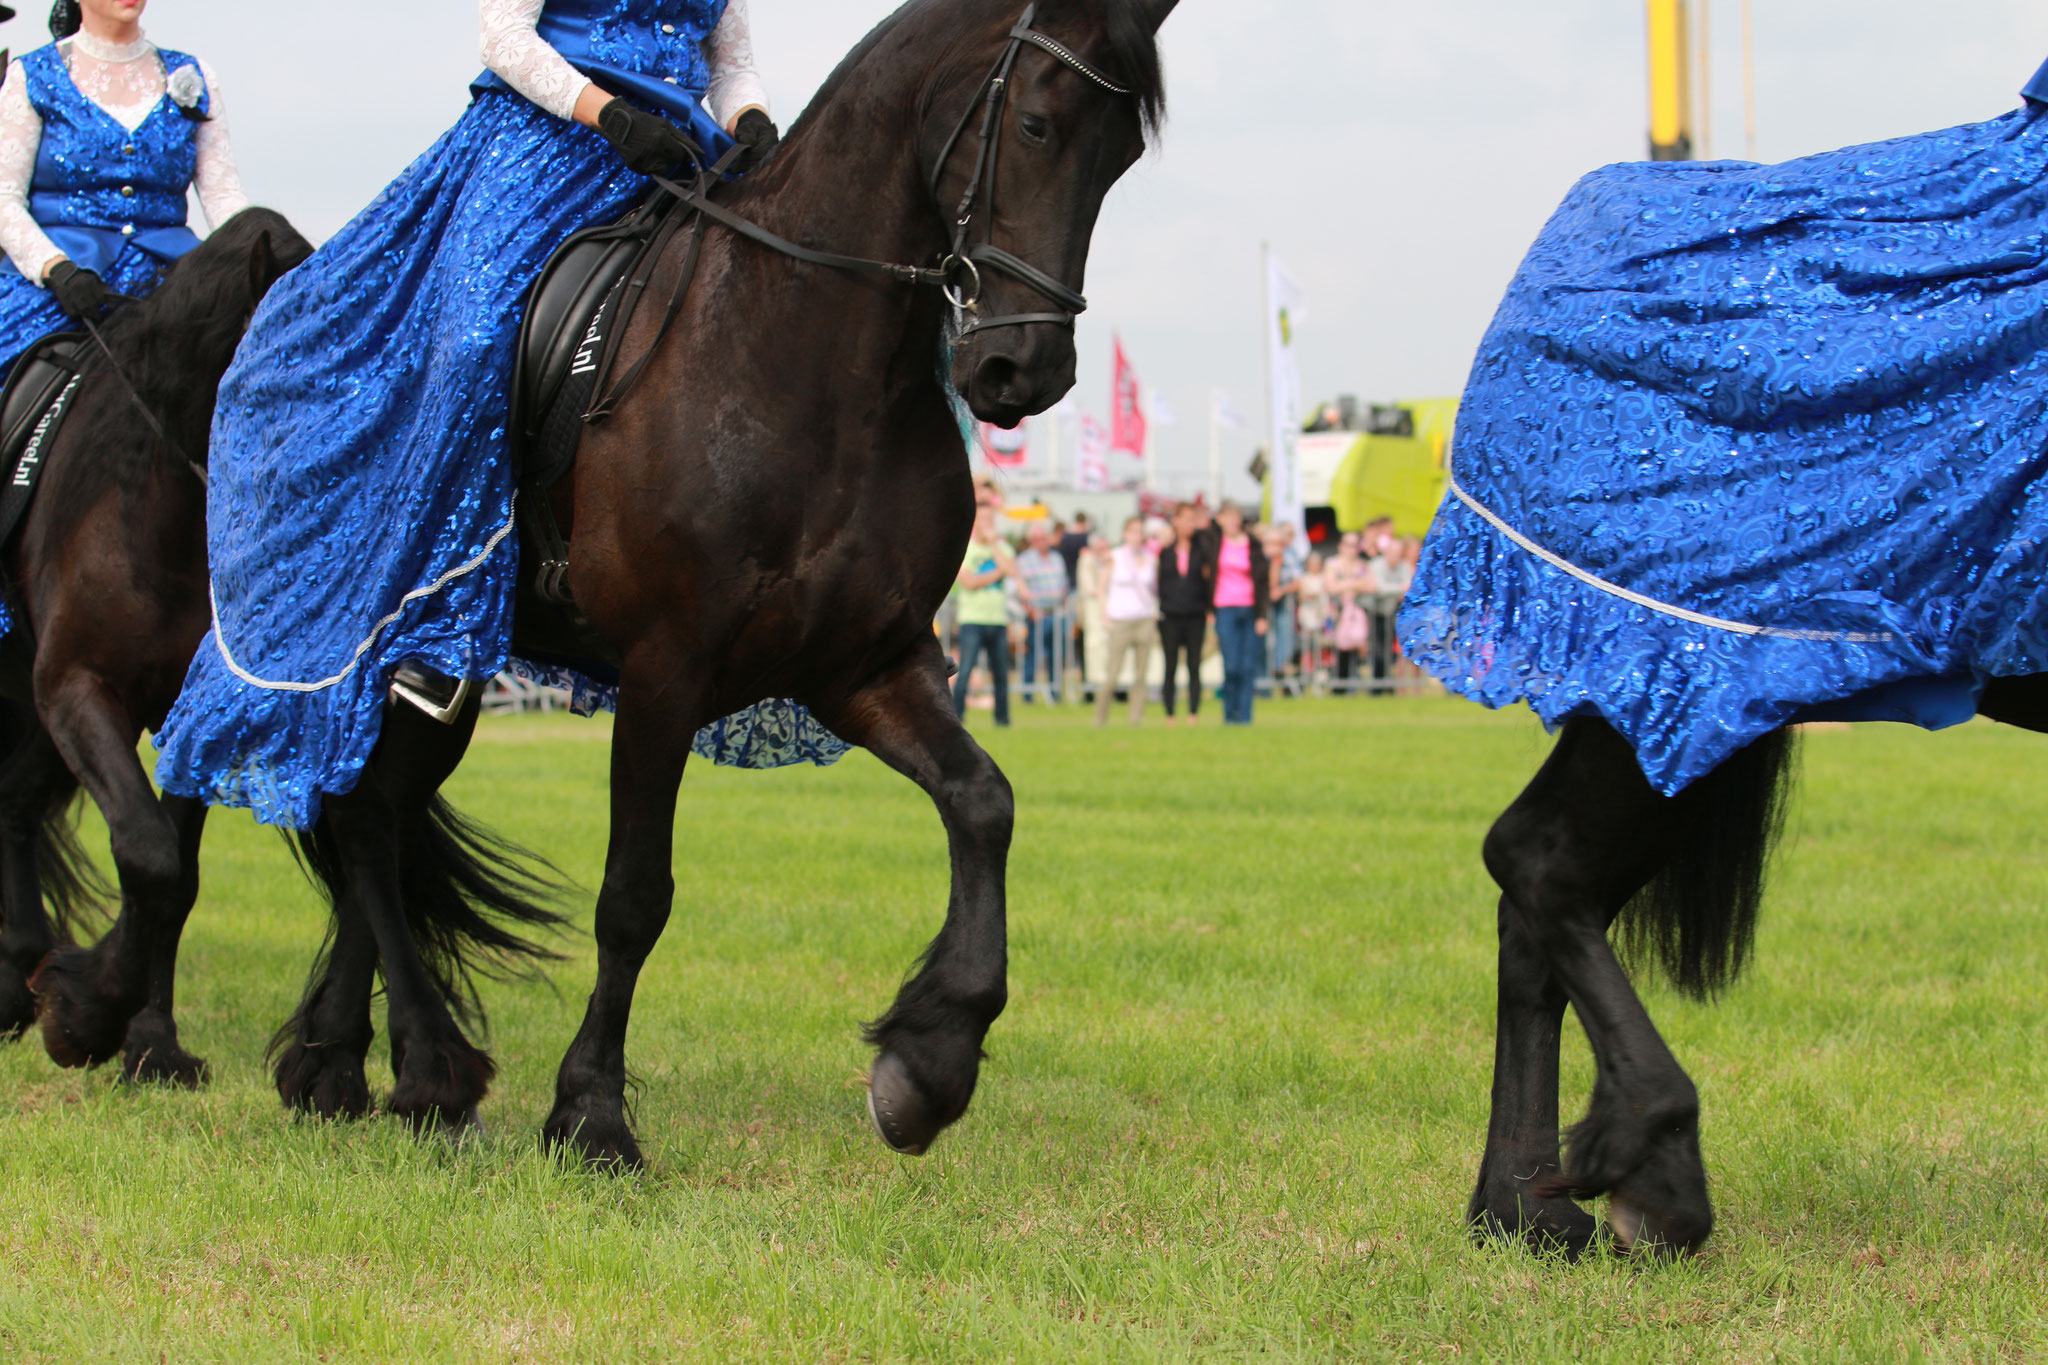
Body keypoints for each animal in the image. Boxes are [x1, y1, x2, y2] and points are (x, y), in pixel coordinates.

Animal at [0, 210, 309, 1080]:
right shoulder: (76, 688)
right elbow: (146, 852)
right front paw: (84, 1015)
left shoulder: (186, 713)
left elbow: (178, 873)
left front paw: (146, 1038)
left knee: (13, 804)